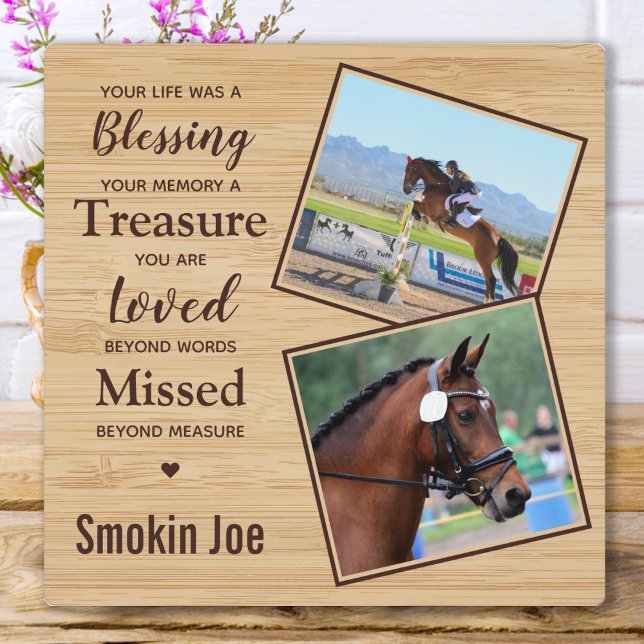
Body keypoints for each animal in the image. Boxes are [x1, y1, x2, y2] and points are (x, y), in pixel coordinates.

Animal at [403, 157, 519, 303]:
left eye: (408, 170)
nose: (405, 189)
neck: (437, 186)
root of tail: (498, 239)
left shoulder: (430, 211)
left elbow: (414, 204)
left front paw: (420, 217)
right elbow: (413, 204)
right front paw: (420, 218)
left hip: (483, 259)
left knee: (491, 280)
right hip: (485, 261)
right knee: (488, 281)